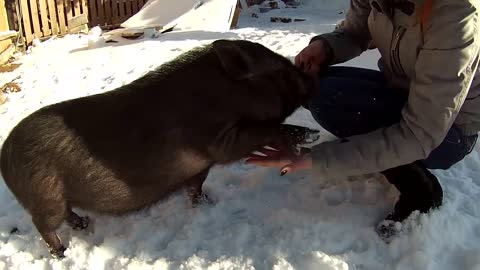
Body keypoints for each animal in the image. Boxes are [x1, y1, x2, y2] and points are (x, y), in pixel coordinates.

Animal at [0, 39, 318, 258]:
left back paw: (82, 225)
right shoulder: (218, 142)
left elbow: (195, 187)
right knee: (43, 224)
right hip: (44, 196)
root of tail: (4, 155)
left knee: (67, 213)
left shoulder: (200, 166)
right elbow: (262, 131)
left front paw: (207, 204)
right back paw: (62, 253)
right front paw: (309, 135)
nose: (312, 80)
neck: (225, 96)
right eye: (281, 73)